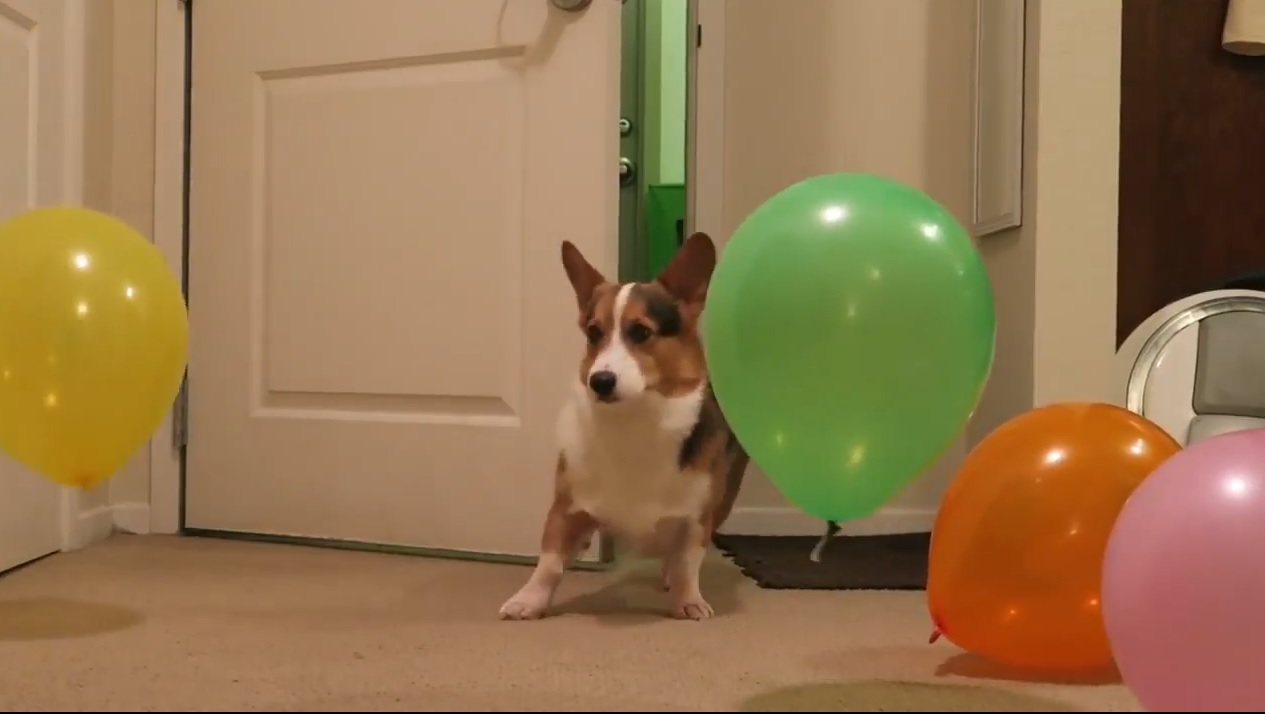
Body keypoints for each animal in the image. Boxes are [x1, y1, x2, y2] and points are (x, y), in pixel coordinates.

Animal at [495, 232, 748, 620]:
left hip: (724, 503)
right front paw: (528, 601)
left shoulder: (697, 519)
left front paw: (689, 600)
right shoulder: (566, 509)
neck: (633, 421)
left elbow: (688, 563)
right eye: (593, 333)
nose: (599, 381)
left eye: (641, 332)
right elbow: (549, 565)